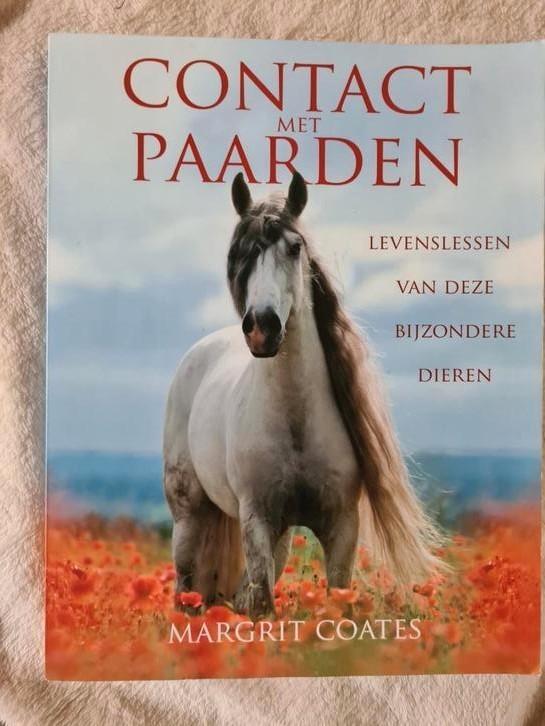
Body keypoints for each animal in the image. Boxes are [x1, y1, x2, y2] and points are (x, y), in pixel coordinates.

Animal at [163, 171, 441, 619]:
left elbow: (336, 597)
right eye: (240, 253)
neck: (296, 421)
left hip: (280, 534)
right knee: (186, 585)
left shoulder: (341, 526)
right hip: (189, 514)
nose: (262, 327)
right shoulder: (257, 519)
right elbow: (263, 602)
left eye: (295, 248)